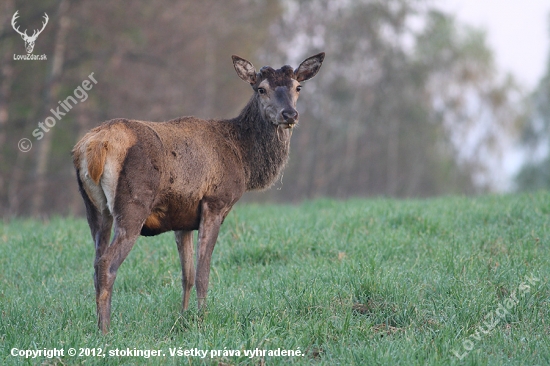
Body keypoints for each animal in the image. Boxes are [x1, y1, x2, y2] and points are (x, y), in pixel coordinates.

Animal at [72, 53, 324, 334]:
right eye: (261, 89)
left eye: (297, 87)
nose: (289, 114)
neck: (244, 160)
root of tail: (94, 146)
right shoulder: (215, 202)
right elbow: (203, 272)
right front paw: (203, 318)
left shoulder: (182, 217)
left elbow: (187, 275)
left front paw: (183, 317)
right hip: (133, 205)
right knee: (107, 264)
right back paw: (106, 330)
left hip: (94, 209)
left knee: (95, 262)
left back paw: (98, 323)